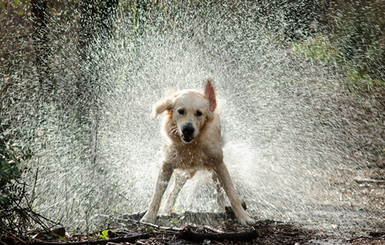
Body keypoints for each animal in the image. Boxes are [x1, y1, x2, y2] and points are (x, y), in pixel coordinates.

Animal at [140, 80, 254, 226]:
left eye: (199, 113)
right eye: (180, 111)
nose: (188, 129)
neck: (191, 145)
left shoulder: (219, 164)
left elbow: (231, 193)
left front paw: (243, 217)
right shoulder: (167, 165)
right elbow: (157, 194)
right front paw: (149, 217)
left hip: (212, 170)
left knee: (219, 190)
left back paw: (220, 208)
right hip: (185, 173)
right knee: (174, 191)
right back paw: (166, 210)